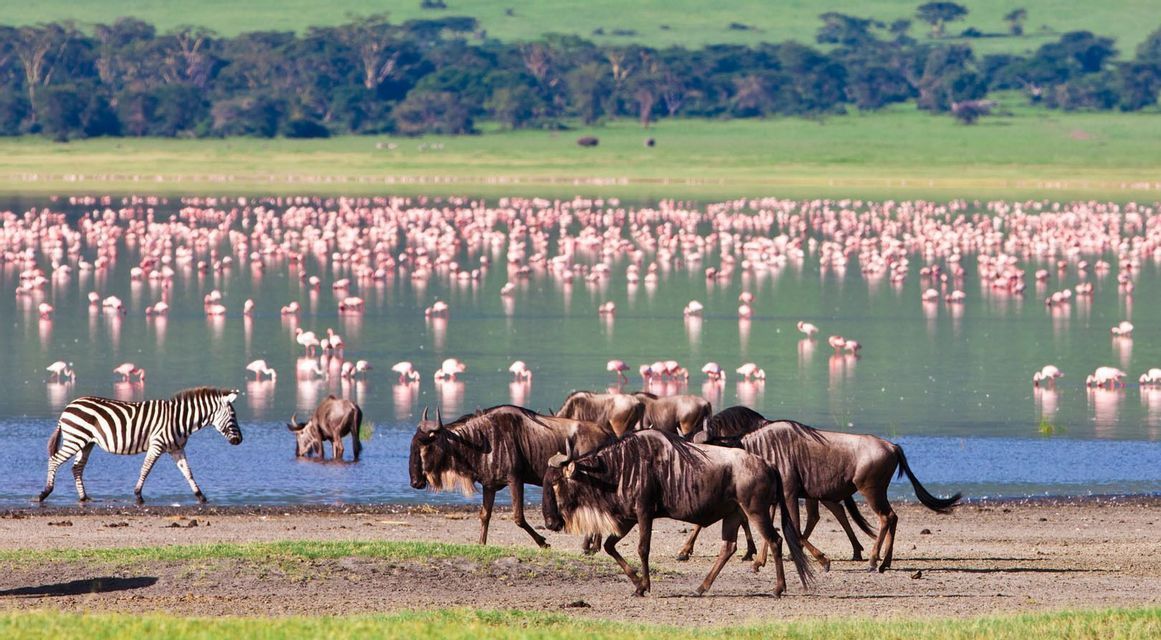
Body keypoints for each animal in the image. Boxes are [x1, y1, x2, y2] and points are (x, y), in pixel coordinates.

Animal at [37, 387, 243, 504]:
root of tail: (69, 406)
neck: (180, 420)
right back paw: (44, 493)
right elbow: (146, 469)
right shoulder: (157, 444)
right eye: (233, 416)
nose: (240, 441)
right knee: (54, 460)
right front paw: (138, 496)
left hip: (86, 443)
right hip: (75, 439)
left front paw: (201, 496)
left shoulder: (176, 448)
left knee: (77, 468)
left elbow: (188, 472)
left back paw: (84, 497)